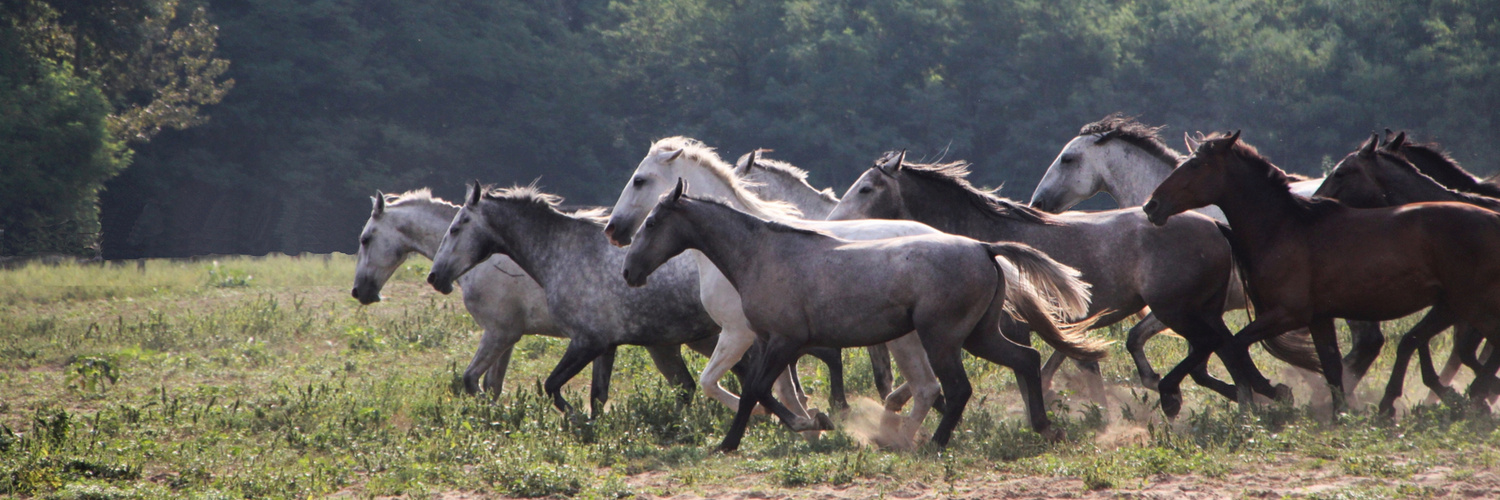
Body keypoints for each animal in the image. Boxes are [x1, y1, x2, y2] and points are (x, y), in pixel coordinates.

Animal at [603, 138, 942, 438]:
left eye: (639, 180)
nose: (612, 229)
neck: (744, 246)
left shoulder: (739, 333)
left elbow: (714, 382)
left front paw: (791, 421)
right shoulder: (770, 339)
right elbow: (780, 389)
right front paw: (809, 426)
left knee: (924, 384)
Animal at [621, 180, 1104, 450]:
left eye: (652, 222)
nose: (628, 270)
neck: (763, 253)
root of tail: (984, 248)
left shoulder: (783, 340)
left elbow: (756, 390)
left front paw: (732, 441)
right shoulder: (771, 341)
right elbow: (763, 391)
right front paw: (809, 422)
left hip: (942, 338)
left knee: (955, 389)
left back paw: (930, 443)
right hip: (978, 336)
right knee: (1025, 360)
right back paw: (1044, 428)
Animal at [828, 151, 1308, 417]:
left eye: (867, 188)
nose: (831, 223)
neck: (985, 236)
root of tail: (1214, 226)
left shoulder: (1009, 326)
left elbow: (1034, 369)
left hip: (1177, 309)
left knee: (1218, 348)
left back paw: (1196, 398)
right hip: (1200, 309)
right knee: (1226, 349)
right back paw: (1259, 396)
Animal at [1140, 131, 1500, 411]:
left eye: (1195, 165)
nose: (1151, 205)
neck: (1283, 228)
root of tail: (1491, 219)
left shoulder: (1289, 314)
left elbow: (1236, 345)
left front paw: (1273, 392)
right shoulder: (1319, 318)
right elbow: (1330, 368)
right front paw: (1338, 414)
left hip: (1469, 306)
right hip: (1453, 306)